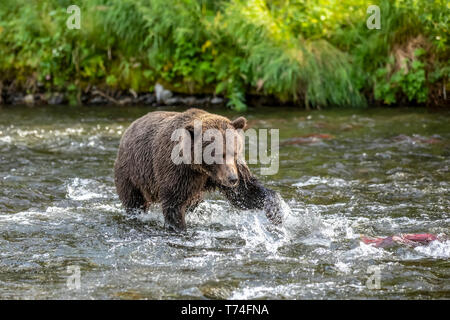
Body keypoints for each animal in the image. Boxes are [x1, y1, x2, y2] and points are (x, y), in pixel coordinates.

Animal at [114, 107, 284, 230]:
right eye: (217, 154)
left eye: (234, 152)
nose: (232, 179)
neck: (201, 168)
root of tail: (130, 127)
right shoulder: (178, 171)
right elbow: (174, 204)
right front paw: (180, 227)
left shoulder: (228, 170)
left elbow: (246, 193)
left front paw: (276, 213)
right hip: (132, 172)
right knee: (134, 200)